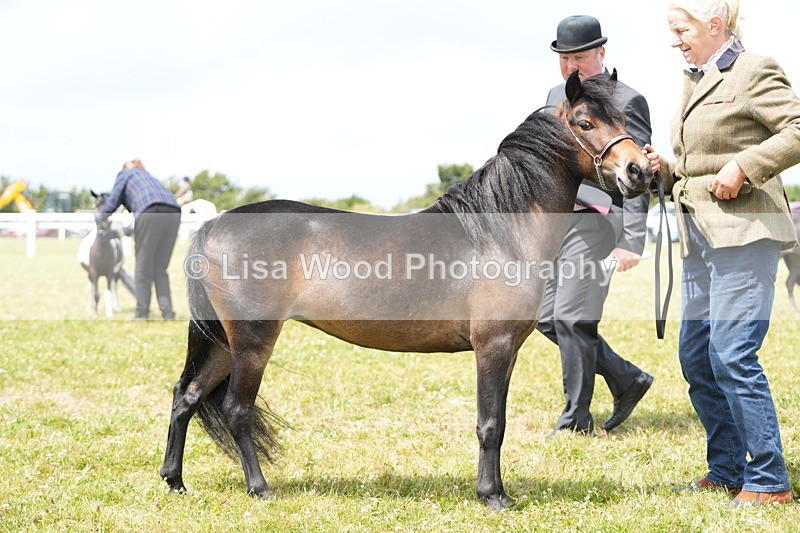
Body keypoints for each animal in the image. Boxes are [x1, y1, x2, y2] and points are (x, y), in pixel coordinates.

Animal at [160, 70, 654, 509]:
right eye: (586, 123)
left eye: (624, 120)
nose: (639, 171)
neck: (499, 231)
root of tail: (212, 224)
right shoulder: (492, 346)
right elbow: (490, 424)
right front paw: (493, 496)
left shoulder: (509, 349)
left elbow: (498, 422)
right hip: (252, 340)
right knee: (236, 410)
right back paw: (259, 488)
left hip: (224, 341)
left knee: (187, 396)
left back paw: (175, 483)